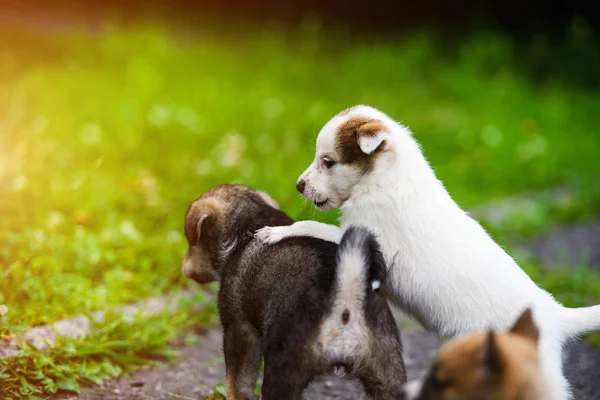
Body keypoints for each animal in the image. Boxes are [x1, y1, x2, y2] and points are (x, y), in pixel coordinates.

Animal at [182, 185, 408, 400]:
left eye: (190, 242)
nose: (183, 268)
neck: (248, 228)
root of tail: (346, 296)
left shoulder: (239, 329)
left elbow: (237, 386)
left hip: (282, 371)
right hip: (389, 376)